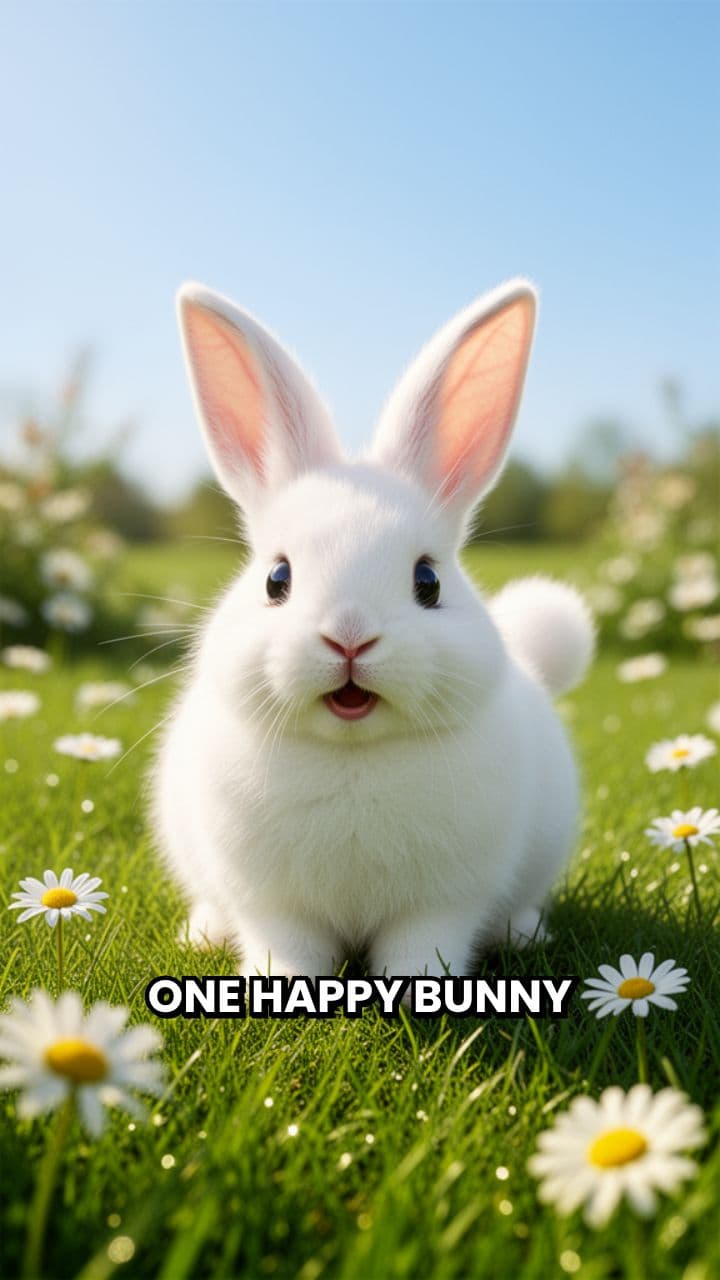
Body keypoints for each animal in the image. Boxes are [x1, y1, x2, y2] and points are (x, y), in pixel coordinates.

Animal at [152, 278, 594, 982]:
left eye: (428, 581)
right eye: (277, 578)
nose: (350, 638)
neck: (353, 756)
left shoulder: (441, 904)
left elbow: (421, 950)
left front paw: (420, 993)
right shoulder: (272, 906)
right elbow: (288, 950)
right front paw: (283, 988)